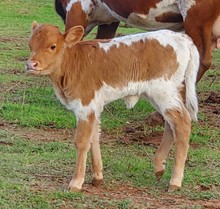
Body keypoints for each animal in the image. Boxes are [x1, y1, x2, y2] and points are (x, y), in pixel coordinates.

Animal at [26, 22, 199, 192]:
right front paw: (97, 177)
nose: (30, 64)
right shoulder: (94, 107)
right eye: (30, 45)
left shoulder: (85, 105)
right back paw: (159, 168)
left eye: (52, 46)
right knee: (171, 124)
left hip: (163, 91)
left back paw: (175, 181)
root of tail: (181, 37)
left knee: (182, 122)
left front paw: (76, 182)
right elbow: (94, 137)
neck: (73, 62)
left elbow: (82, 142)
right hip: (162, 94)